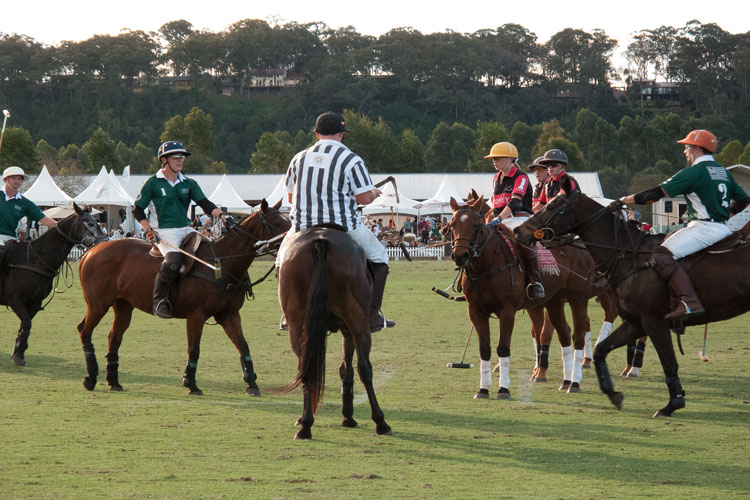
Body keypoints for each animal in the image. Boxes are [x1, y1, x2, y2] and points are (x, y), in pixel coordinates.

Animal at [2, 204, 107, 368]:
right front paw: (18, 355)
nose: (104, 241)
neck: (35, 260)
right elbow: (26, 324)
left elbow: (25, 326)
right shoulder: (14, 299)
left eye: (97, 222)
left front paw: (18, 354)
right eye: (89, 223)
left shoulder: (35, 302)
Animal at [75, 201, 290, 396]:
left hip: (123, 305)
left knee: (114, 337)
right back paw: (90, 378)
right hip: (98, 304)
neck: (222, 264)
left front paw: (252, 383)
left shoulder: (229, 314)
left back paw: (113, 381)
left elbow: (243, 346)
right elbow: (194, 349)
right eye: (277, 223)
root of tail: (91, 251)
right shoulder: (196, 315)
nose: (292, 240)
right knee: (84, 330)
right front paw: (191, 383)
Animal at [276, 225, 394, 440]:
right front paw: (349, 416)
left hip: (297, 323)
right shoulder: (350, 328)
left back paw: (305, 425)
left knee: (305, 367)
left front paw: (346, 416)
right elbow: (350, 368)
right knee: (365, 367)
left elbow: (343, 369)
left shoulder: (342, 330)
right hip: (358, 320)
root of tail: (320, 241)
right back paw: (381, 422)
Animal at [446, 196, 592, 398]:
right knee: (563, 333)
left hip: (578, 299)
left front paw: (503, 389)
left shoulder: (507, 311)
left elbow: (503, 347)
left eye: (477, 225)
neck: (485, 266)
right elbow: (485, 349)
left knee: (578, 335)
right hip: (553, 301)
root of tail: (579, 243)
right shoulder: (475, 312)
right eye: (452, 224)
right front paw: (483, 389)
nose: (460, 255)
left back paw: (575, 382)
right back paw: (566, 381)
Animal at [516, 182, 750, 416]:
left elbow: (669, 363)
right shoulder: (635, 322)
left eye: (553, 206)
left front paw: (672, 404)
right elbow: (599, 348)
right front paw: (613, 394)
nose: (519, 231)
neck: (627, 255)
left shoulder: (653, 321)